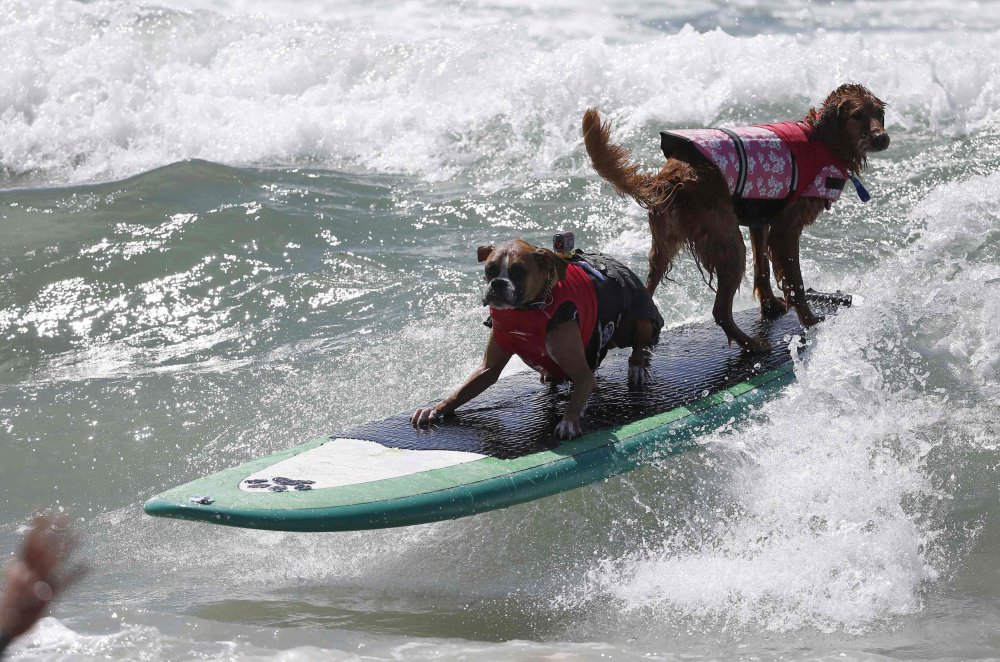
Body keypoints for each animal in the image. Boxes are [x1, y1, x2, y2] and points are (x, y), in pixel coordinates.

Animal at [412, 240, 664, 440]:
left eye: (519, 271)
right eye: (490, 269)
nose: (498, 283)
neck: (528, 312)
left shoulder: (583, 375)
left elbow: (578, 395)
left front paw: (568, 422)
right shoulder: (487, 369)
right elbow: (462, 390)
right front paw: (435, 408)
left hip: (639, 318)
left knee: (639, 347)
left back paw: (638, 368)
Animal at [584, 86, 888, 356]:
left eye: (879, 113)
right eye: (857, 115)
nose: (883, 139)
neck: (822, 139)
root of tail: (672, 177)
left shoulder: (760, 220)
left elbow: (762, 269)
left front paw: (770, 306)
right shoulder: (785, 231)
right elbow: (796, 284)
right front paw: (811, 321)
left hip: (664, 245)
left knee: (649, 287)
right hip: (728, 243)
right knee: (719, 311)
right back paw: (752, 345)